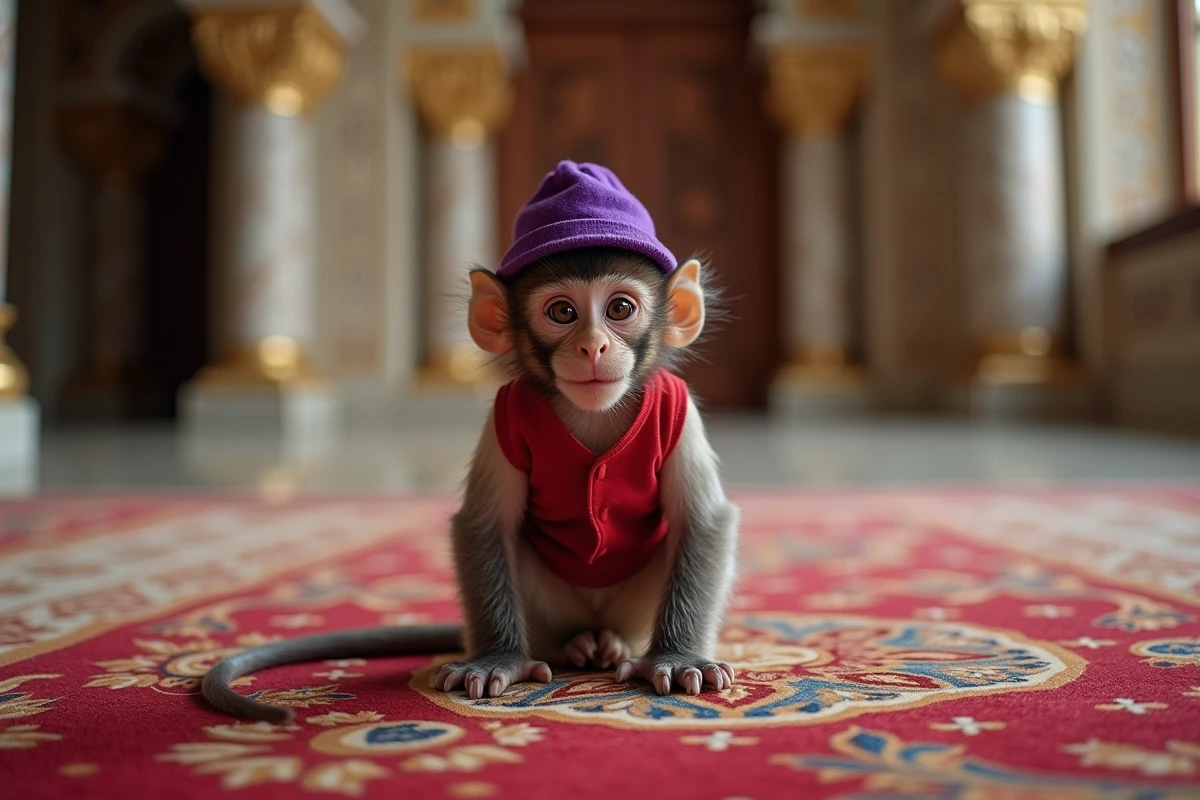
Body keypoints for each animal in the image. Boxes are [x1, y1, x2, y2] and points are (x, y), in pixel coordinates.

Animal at [200, 161, 740, 724]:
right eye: (563, 313)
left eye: (618, 308)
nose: (593, 346)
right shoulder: (504, 418)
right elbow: (485, 526)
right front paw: (497, 659)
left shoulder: (679, 410)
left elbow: (702, 522)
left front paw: (678, 657)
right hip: (549, 611)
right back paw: (574, 647)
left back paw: (611, 645)